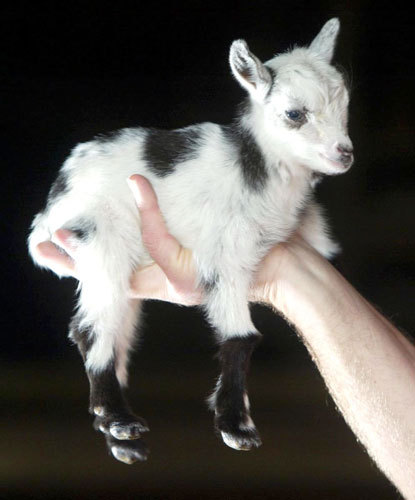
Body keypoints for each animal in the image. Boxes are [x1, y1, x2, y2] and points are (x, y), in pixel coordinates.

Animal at [28, 19, 354, 464]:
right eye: (294, 113)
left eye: (345, 105)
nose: (345, 154)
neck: (255, 170)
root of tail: (53, 204)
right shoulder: (227, 255)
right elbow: (241, 337)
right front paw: (236, 427)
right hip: (101, 241)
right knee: (91, 329)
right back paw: (119, 420)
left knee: (115, 334)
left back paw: (119, 437)